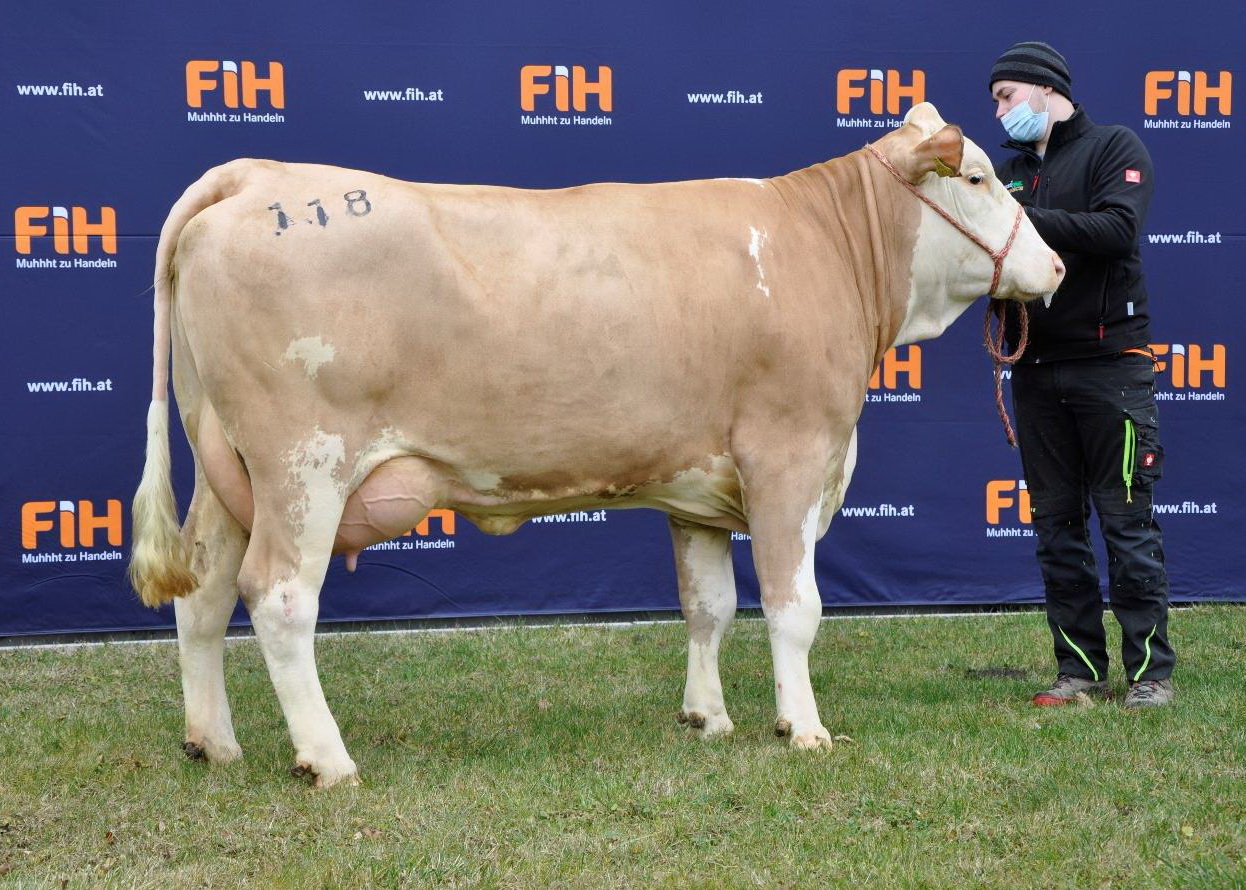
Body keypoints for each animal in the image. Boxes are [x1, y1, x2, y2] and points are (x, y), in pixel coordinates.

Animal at [128, 102, 1061, 782]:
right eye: (977, 176)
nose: (1053, 268)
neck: (824, 246)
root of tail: (255, 176)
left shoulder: (699, 486)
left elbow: (708, 604)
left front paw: (707, 716)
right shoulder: (790, 455)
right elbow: (794, 609)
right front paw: (803, 727)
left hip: (228, 465)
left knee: (204, 592)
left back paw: (214, 743)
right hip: (302, 463)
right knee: (281, 597)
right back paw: (327, 759)